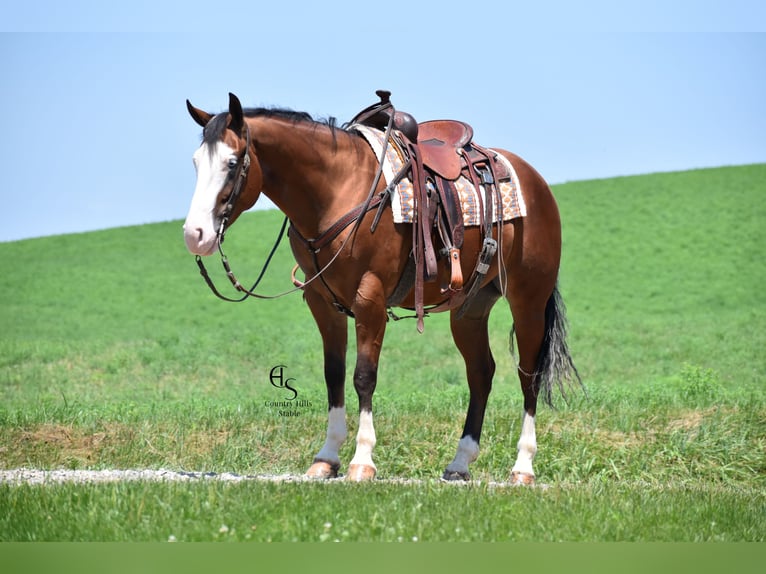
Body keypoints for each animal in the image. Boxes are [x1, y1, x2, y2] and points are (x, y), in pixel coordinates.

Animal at [183, 92, 579, 485]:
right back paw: (460, 463)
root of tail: (535, 181)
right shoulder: (322, 301)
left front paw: (362, 460)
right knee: (481, 372)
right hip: (470, 309)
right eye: (196, 162)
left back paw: (523, 467)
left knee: (528, 374)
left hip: (528, 300)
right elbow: (334, 374)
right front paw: (326, 458)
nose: (195, 235)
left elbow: (363, 376)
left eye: (232, 163)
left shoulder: (369, 298)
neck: (338, 190)